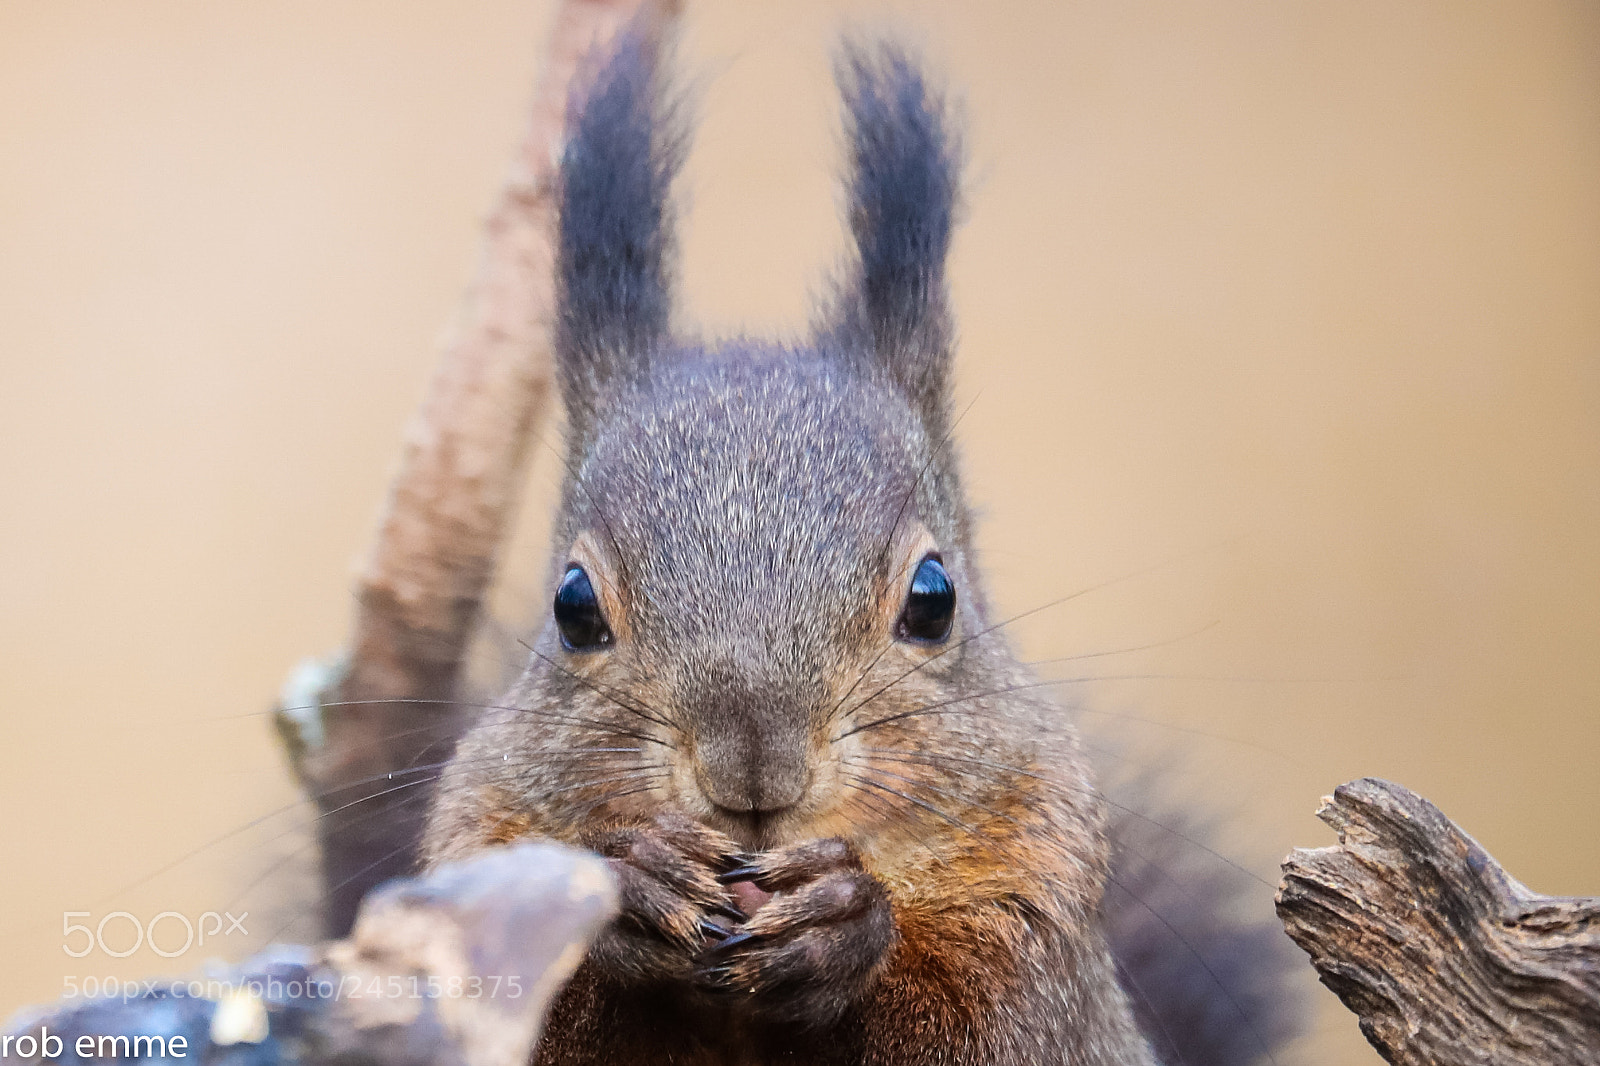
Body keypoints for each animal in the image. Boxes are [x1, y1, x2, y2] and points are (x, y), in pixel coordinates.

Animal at [422, 23, 1302, 1066]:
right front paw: (638, 891)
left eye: (934, 598)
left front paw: (846, 925)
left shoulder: (1035, 909)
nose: (753, 769)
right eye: (573, 607)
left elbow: (977, 1017)